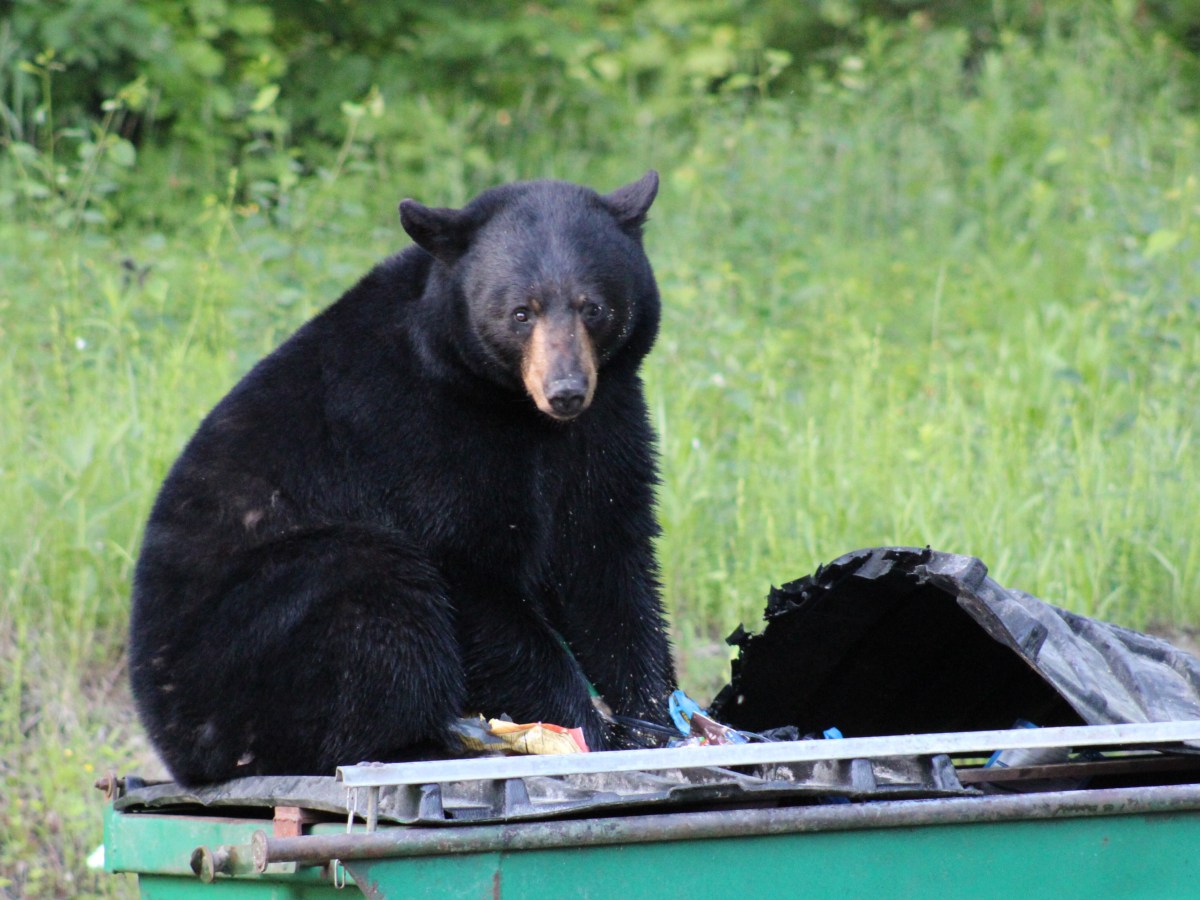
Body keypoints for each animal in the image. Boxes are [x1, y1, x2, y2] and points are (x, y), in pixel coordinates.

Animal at [128, 172, 677, 786]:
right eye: (520, 312)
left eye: (593, 307)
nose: (565, 390)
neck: (512, 408)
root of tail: (175, 748)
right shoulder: (419, 434)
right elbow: (470, 569)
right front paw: (583, 729)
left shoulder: (604, 422)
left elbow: (605, 558)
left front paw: (653, 721)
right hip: (252, 641)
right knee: (376, 594)